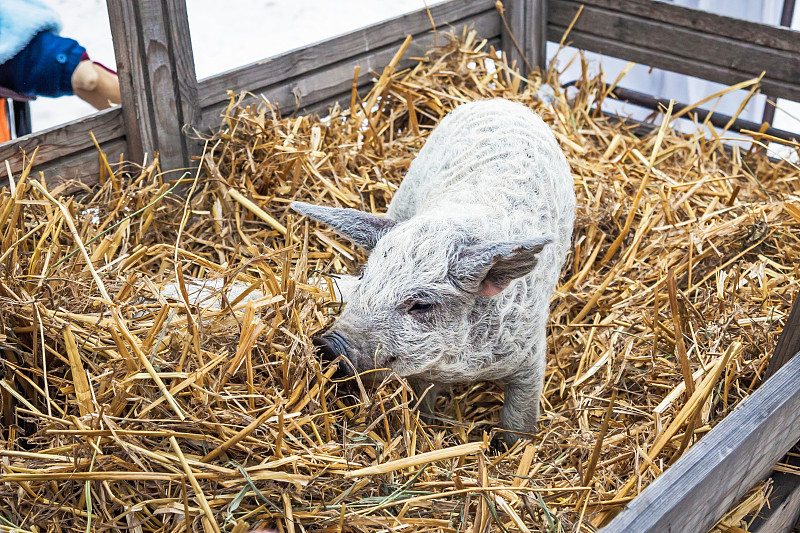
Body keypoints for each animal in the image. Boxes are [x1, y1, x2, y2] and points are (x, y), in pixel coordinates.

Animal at [292, 97, 576, 442]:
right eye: (363, 278)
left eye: (421, 305)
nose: (328, 344)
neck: (460, 367)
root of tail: (501, 101)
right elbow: (422, 402)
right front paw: (426, 426)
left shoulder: (531, 356)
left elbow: (518, 418)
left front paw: (514, 447)